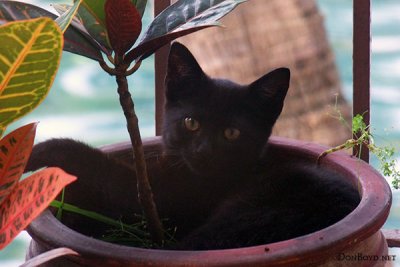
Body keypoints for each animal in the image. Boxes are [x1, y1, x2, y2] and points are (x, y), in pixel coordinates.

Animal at [26, 42, 360, 251]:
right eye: (191, 122)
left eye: (231, 132)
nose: (203, 151)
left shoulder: (152, 206)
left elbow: (96, 165)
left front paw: (37, 152)